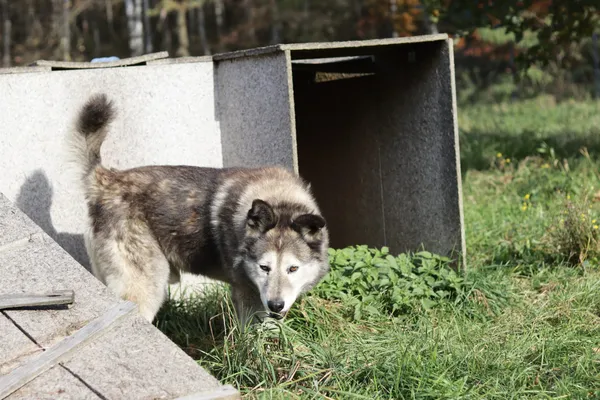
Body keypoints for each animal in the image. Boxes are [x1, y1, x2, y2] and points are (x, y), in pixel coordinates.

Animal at [71, 95, 332, 326]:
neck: (279, 199)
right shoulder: (248, 296)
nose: (276, 305)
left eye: (293, 268)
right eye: (264, 267)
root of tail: (106, 179)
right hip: (146, 286)